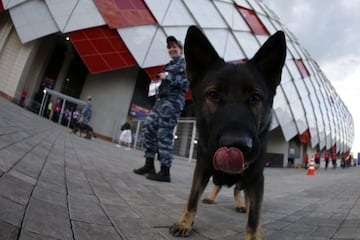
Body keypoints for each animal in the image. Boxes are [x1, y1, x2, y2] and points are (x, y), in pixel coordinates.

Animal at [169, 25, 286, 238]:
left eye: (255, 97)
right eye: (213, 95)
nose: (237, 145)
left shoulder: (256, 177)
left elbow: (254, 217)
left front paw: (253, 232)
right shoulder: (202, 167)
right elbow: (192, 198)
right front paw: (184, 222)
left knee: (238, 191)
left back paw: (242, 205)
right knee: (220, 185)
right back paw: (212, 197)